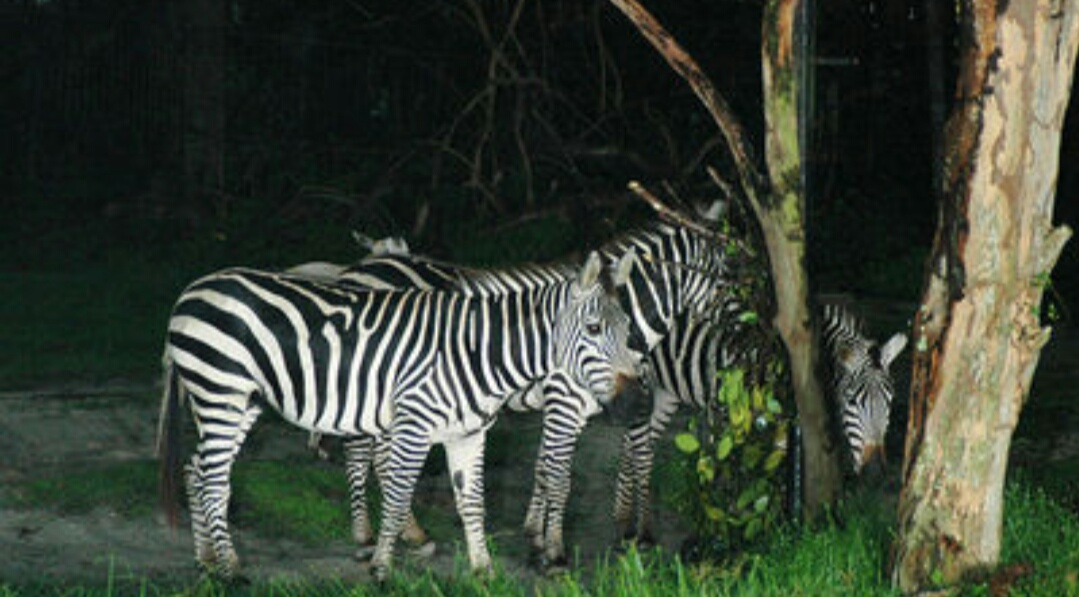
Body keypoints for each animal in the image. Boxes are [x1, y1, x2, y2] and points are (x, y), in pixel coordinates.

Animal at [157, 250, 643, 578]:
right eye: (595, 329)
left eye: (628, 331)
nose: (635, 401)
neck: (477, 352)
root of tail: (190, 291)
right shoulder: (414, 425)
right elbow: (396, 493)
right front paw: (381, 568)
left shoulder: (468, 433)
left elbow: (472, 501)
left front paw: (483, 571)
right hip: (220, 391)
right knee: (214, 478)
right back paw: (230, 568)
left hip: (239, 402)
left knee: (197, 469)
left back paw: (207, 560)